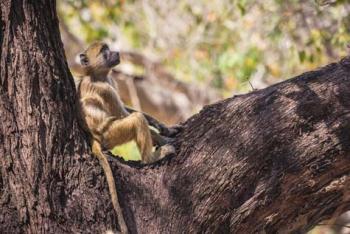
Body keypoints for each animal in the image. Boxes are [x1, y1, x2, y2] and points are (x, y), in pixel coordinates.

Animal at [75, 42, 176, 234]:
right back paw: (151, 158)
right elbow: (124, 114)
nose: (116, 53)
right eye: (104, 52)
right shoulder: (105, 90)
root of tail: (95, 138)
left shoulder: (111, 82)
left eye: (108, 49)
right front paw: (163, 139)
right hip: (111, 134)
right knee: (136, 119)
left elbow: (128, 110)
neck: (97, 75)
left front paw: (164, 128)